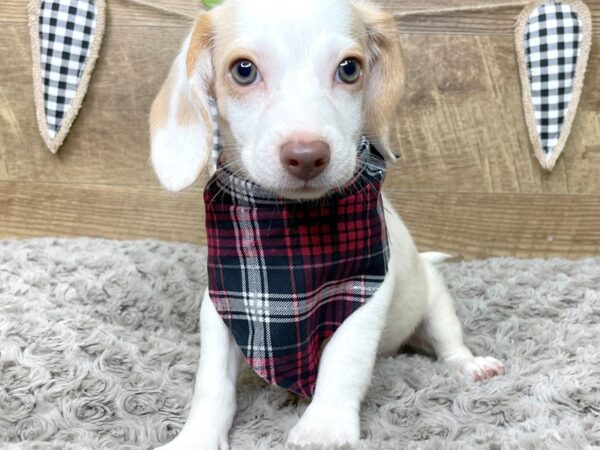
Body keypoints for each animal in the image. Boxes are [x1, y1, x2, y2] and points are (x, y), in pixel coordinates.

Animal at [149, 0, 502, 450]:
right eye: (243, 70)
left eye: (349, 69)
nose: (307, 156)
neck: (288, 237)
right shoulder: (223, 303)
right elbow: (212, 381)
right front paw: (197, 437)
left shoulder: (363, 292)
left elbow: (344, 363)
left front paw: (324, 429)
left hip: (437, 305)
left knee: (449, 343)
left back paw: (471, 365)